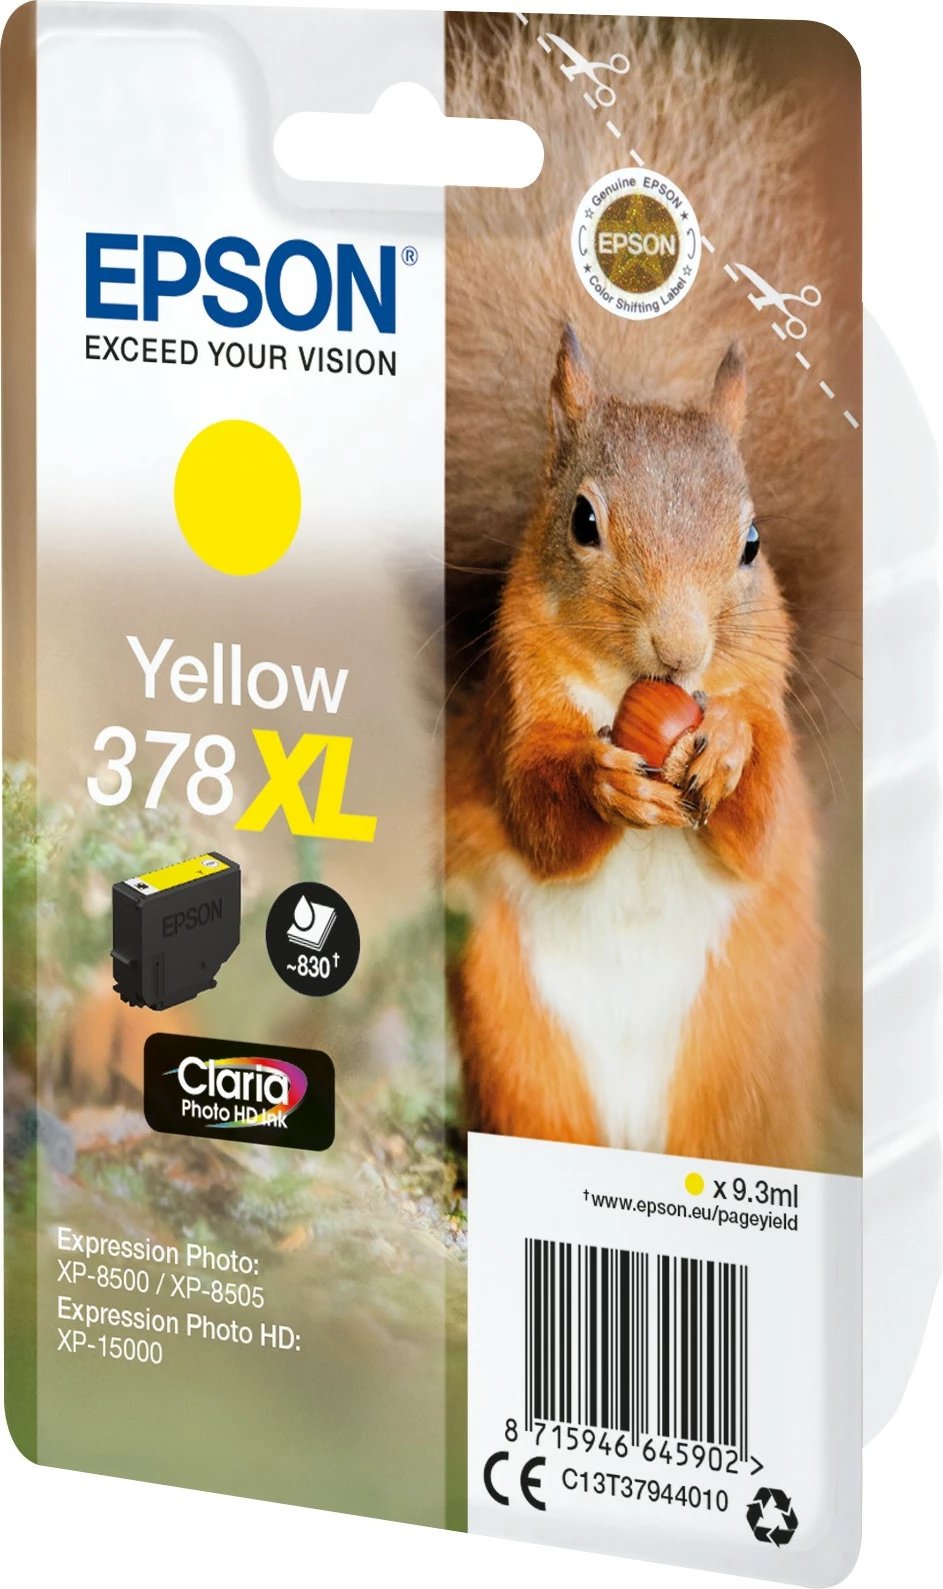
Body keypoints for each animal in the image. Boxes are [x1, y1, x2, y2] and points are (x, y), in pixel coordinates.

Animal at [443, 15, 860, 1169]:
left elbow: (759, 817)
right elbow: (535, 808)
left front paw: (724, 750)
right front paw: (600, 783)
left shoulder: (766, 692)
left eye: (751, 543)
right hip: (517, 1041)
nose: (679, 653)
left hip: (738, 1066)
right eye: (583, 521)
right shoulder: (515, 701)